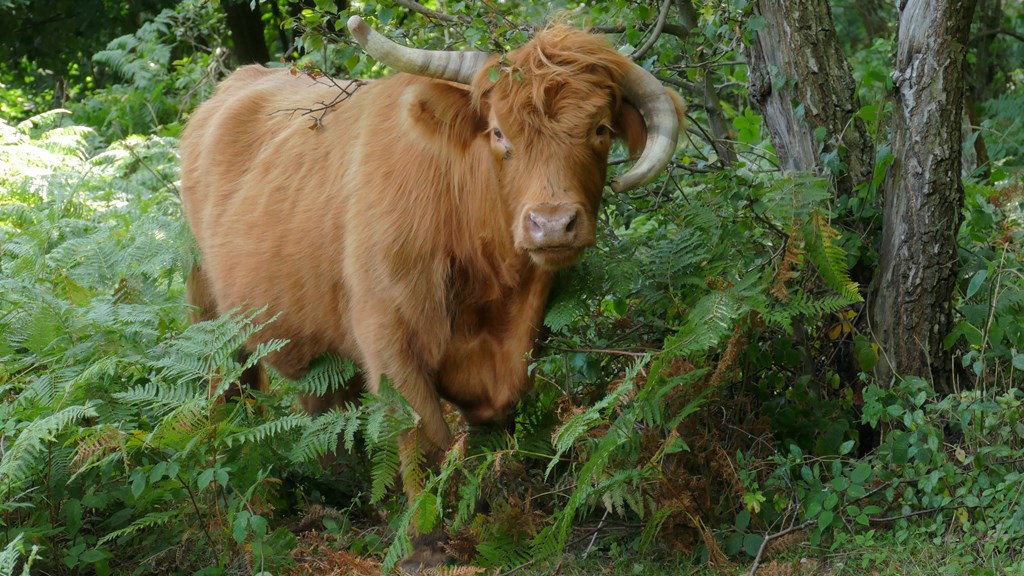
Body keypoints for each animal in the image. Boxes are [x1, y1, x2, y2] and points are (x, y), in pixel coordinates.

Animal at [180, 14, 682, 566]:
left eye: (599, 130)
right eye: (499, 132)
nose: (551, 224)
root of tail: (235, 82)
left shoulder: (511, 354)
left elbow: (486, 443)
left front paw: (489, 519)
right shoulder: (389, 341)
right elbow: (424, 435)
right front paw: (426, 542)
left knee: (324, 406)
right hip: (210, 313)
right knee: (227, 391)